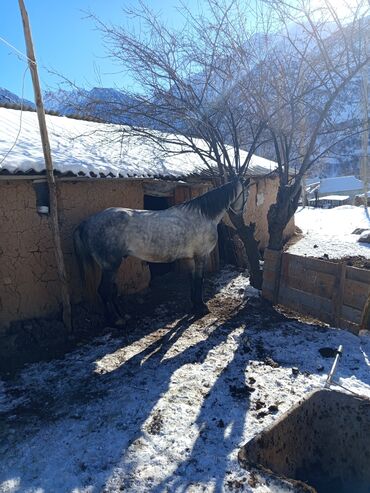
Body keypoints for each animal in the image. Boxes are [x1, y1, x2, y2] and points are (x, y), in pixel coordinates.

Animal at [73, 176, 250, 322]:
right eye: (246, 195)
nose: (241, 216)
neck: (204, 215)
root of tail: (87, 223)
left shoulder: (190, 257)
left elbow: (192, 279)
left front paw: (194, 305)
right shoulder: (201, 255)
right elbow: (199, 280)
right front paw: (201, 307)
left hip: (111, 266)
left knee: (111, 291)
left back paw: (122, 316)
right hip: (110, 265)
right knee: (105, 291)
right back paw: (115, 321)